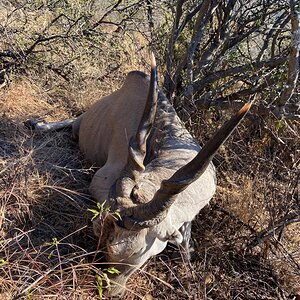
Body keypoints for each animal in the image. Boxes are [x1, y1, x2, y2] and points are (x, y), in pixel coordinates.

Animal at [25, 53, 251, 296]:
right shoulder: (102, 179)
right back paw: (36, 124)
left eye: (135, 253)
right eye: (100, 233)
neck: (168, 146)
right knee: (69, 122)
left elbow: (186, 246)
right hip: (78, 126)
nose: (110, 290)